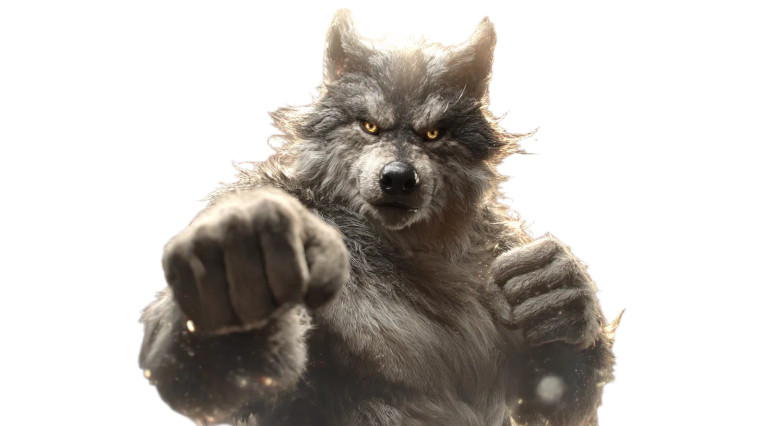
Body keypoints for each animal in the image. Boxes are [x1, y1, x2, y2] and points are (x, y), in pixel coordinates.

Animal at [139, 10, 617, 426]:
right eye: (369, 126)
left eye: (433, 134)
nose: (398, 179)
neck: (407, 250)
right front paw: (232, 279)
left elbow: (547, 398)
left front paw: (565, 294)